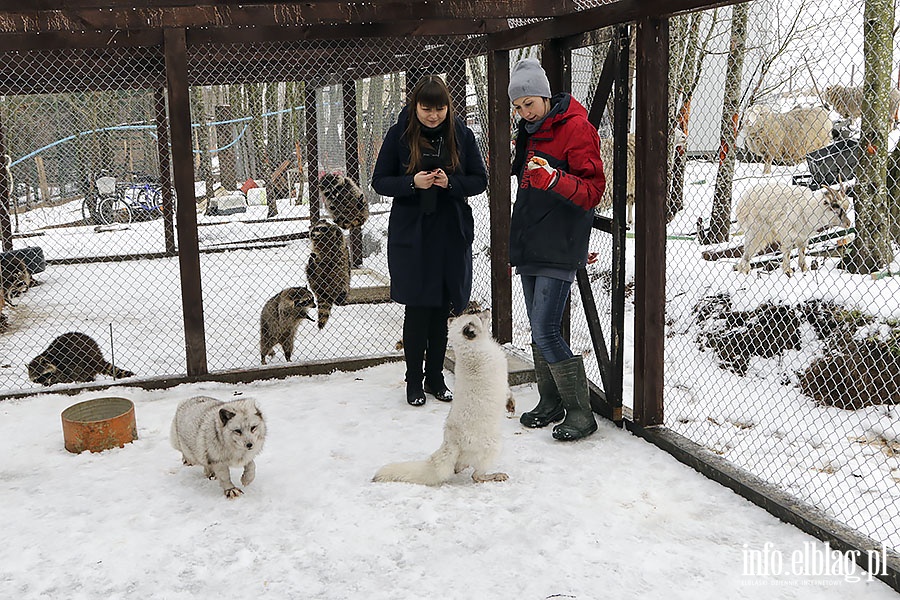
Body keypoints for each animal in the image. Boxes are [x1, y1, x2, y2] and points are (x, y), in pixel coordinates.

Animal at [374, 312, 512, 486]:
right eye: (477, 316)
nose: (487, 310)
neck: (472, 350)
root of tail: (450, 442)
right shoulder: (503, 379)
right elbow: (508, 392)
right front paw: (511, 405)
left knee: (458, 467)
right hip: (494, 447)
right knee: (476, 476)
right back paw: (496, 476)